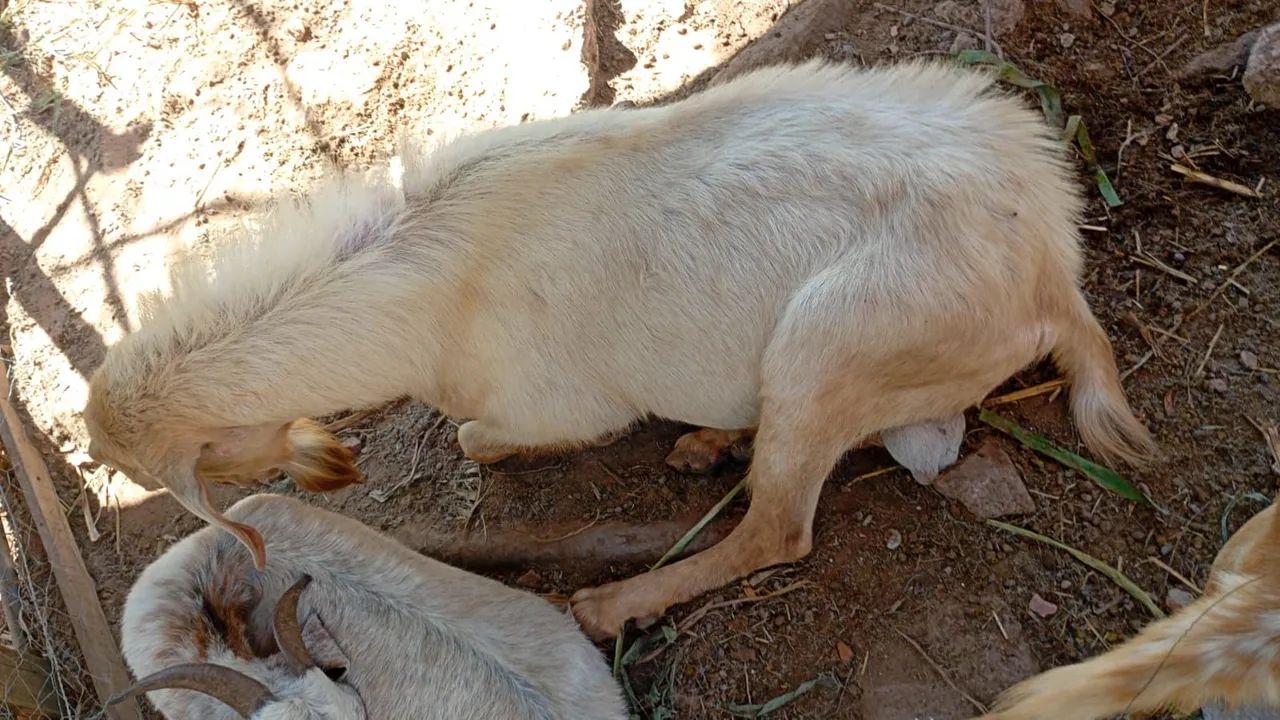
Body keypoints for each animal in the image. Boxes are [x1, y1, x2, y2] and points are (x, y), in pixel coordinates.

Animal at [84, 59, 1156, 639]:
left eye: (206, 464)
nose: (328, 464)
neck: (427, 277)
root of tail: (1056, 275)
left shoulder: (553, 402)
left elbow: (475, 436)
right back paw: (708, 444)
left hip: (834, 341)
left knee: (779, 528)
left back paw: (609, 605)